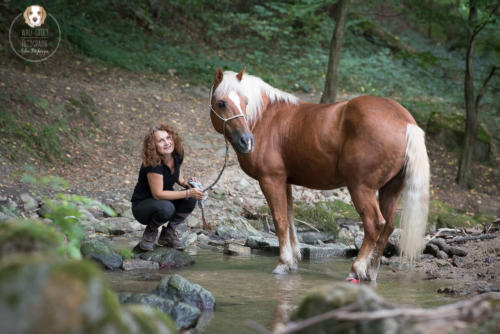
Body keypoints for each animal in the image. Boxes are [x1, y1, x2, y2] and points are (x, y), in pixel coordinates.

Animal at [209, 66, 432, 280]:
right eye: (221, 103)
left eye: (245, 102)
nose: (246, 141)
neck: (266, 118)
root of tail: (404, 121)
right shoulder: (285, 181)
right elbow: (290, 221)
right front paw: (292, 262)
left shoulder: (270, 180)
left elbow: (280, 221)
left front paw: (283, 263)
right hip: (390, 189)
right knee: (388, 227)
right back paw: (371, 272)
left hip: (361, 188)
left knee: (375, 225)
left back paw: (356, 269)